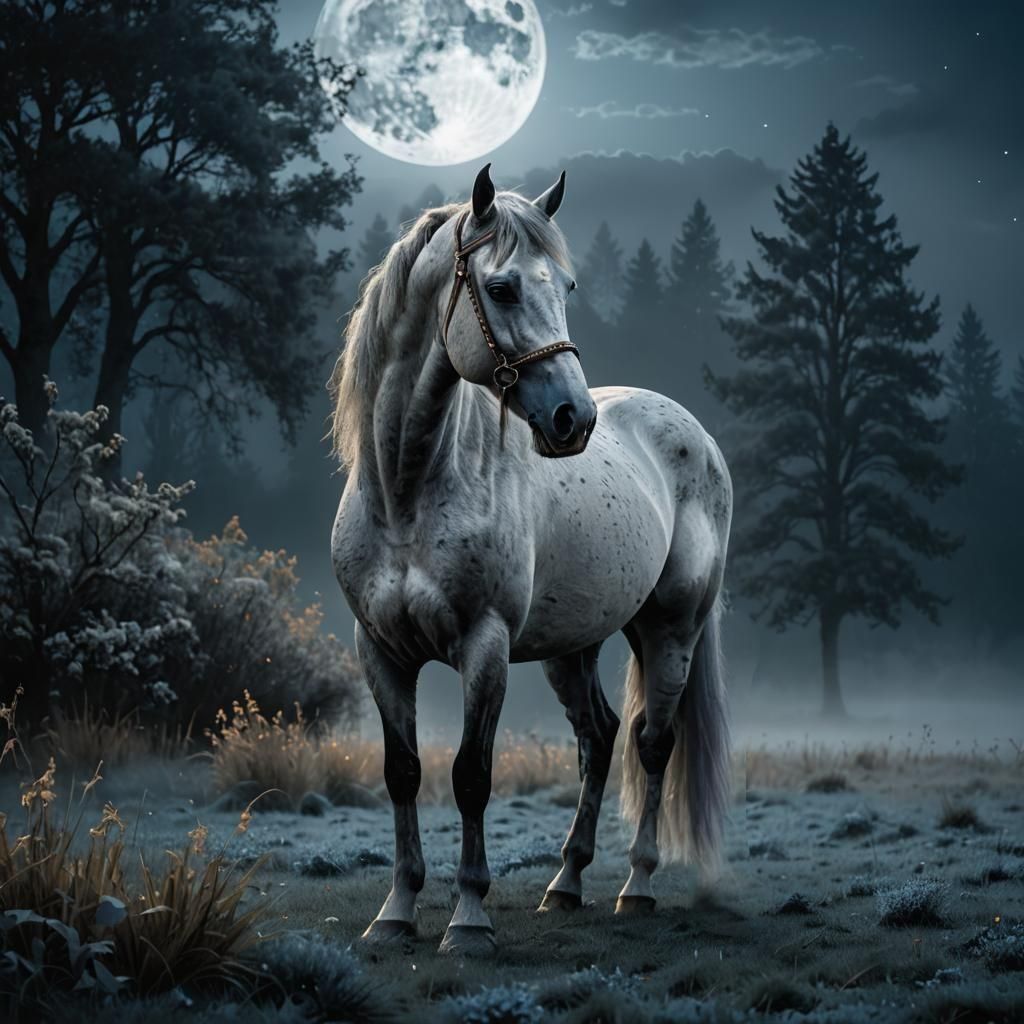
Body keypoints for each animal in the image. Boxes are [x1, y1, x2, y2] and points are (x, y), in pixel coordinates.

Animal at [329, 164, 732, 957]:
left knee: (653, 743)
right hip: (572, 645)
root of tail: (693, 432)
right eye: (503, 287)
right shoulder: (380, 650)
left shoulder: (483, 646)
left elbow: (471, 776)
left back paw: (636, 886)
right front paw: (395, 912)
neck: (408, 488)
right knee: (599, 739)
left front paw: (468, 919)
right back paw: (566, 883)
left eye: (567, 287)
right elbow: (402, 771)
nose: (574, 420)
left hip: (670, 629)